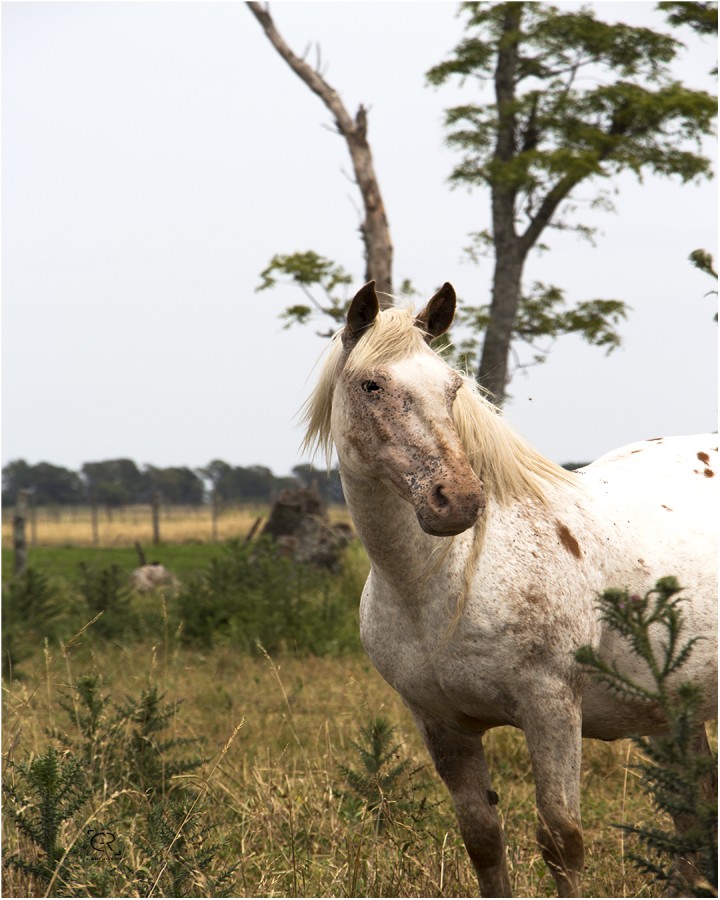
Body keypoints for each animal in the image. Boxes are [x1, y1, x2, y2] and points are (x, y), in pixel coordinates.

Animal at [300, 280, 716, 892]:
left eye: (452, 387)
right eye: (371, 385)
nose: (457, 500)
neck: (435, 588)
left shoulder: (551, 708)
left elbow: (562, 841)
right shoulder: (443, 726)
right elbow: (483, 841)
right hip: (674, 710)